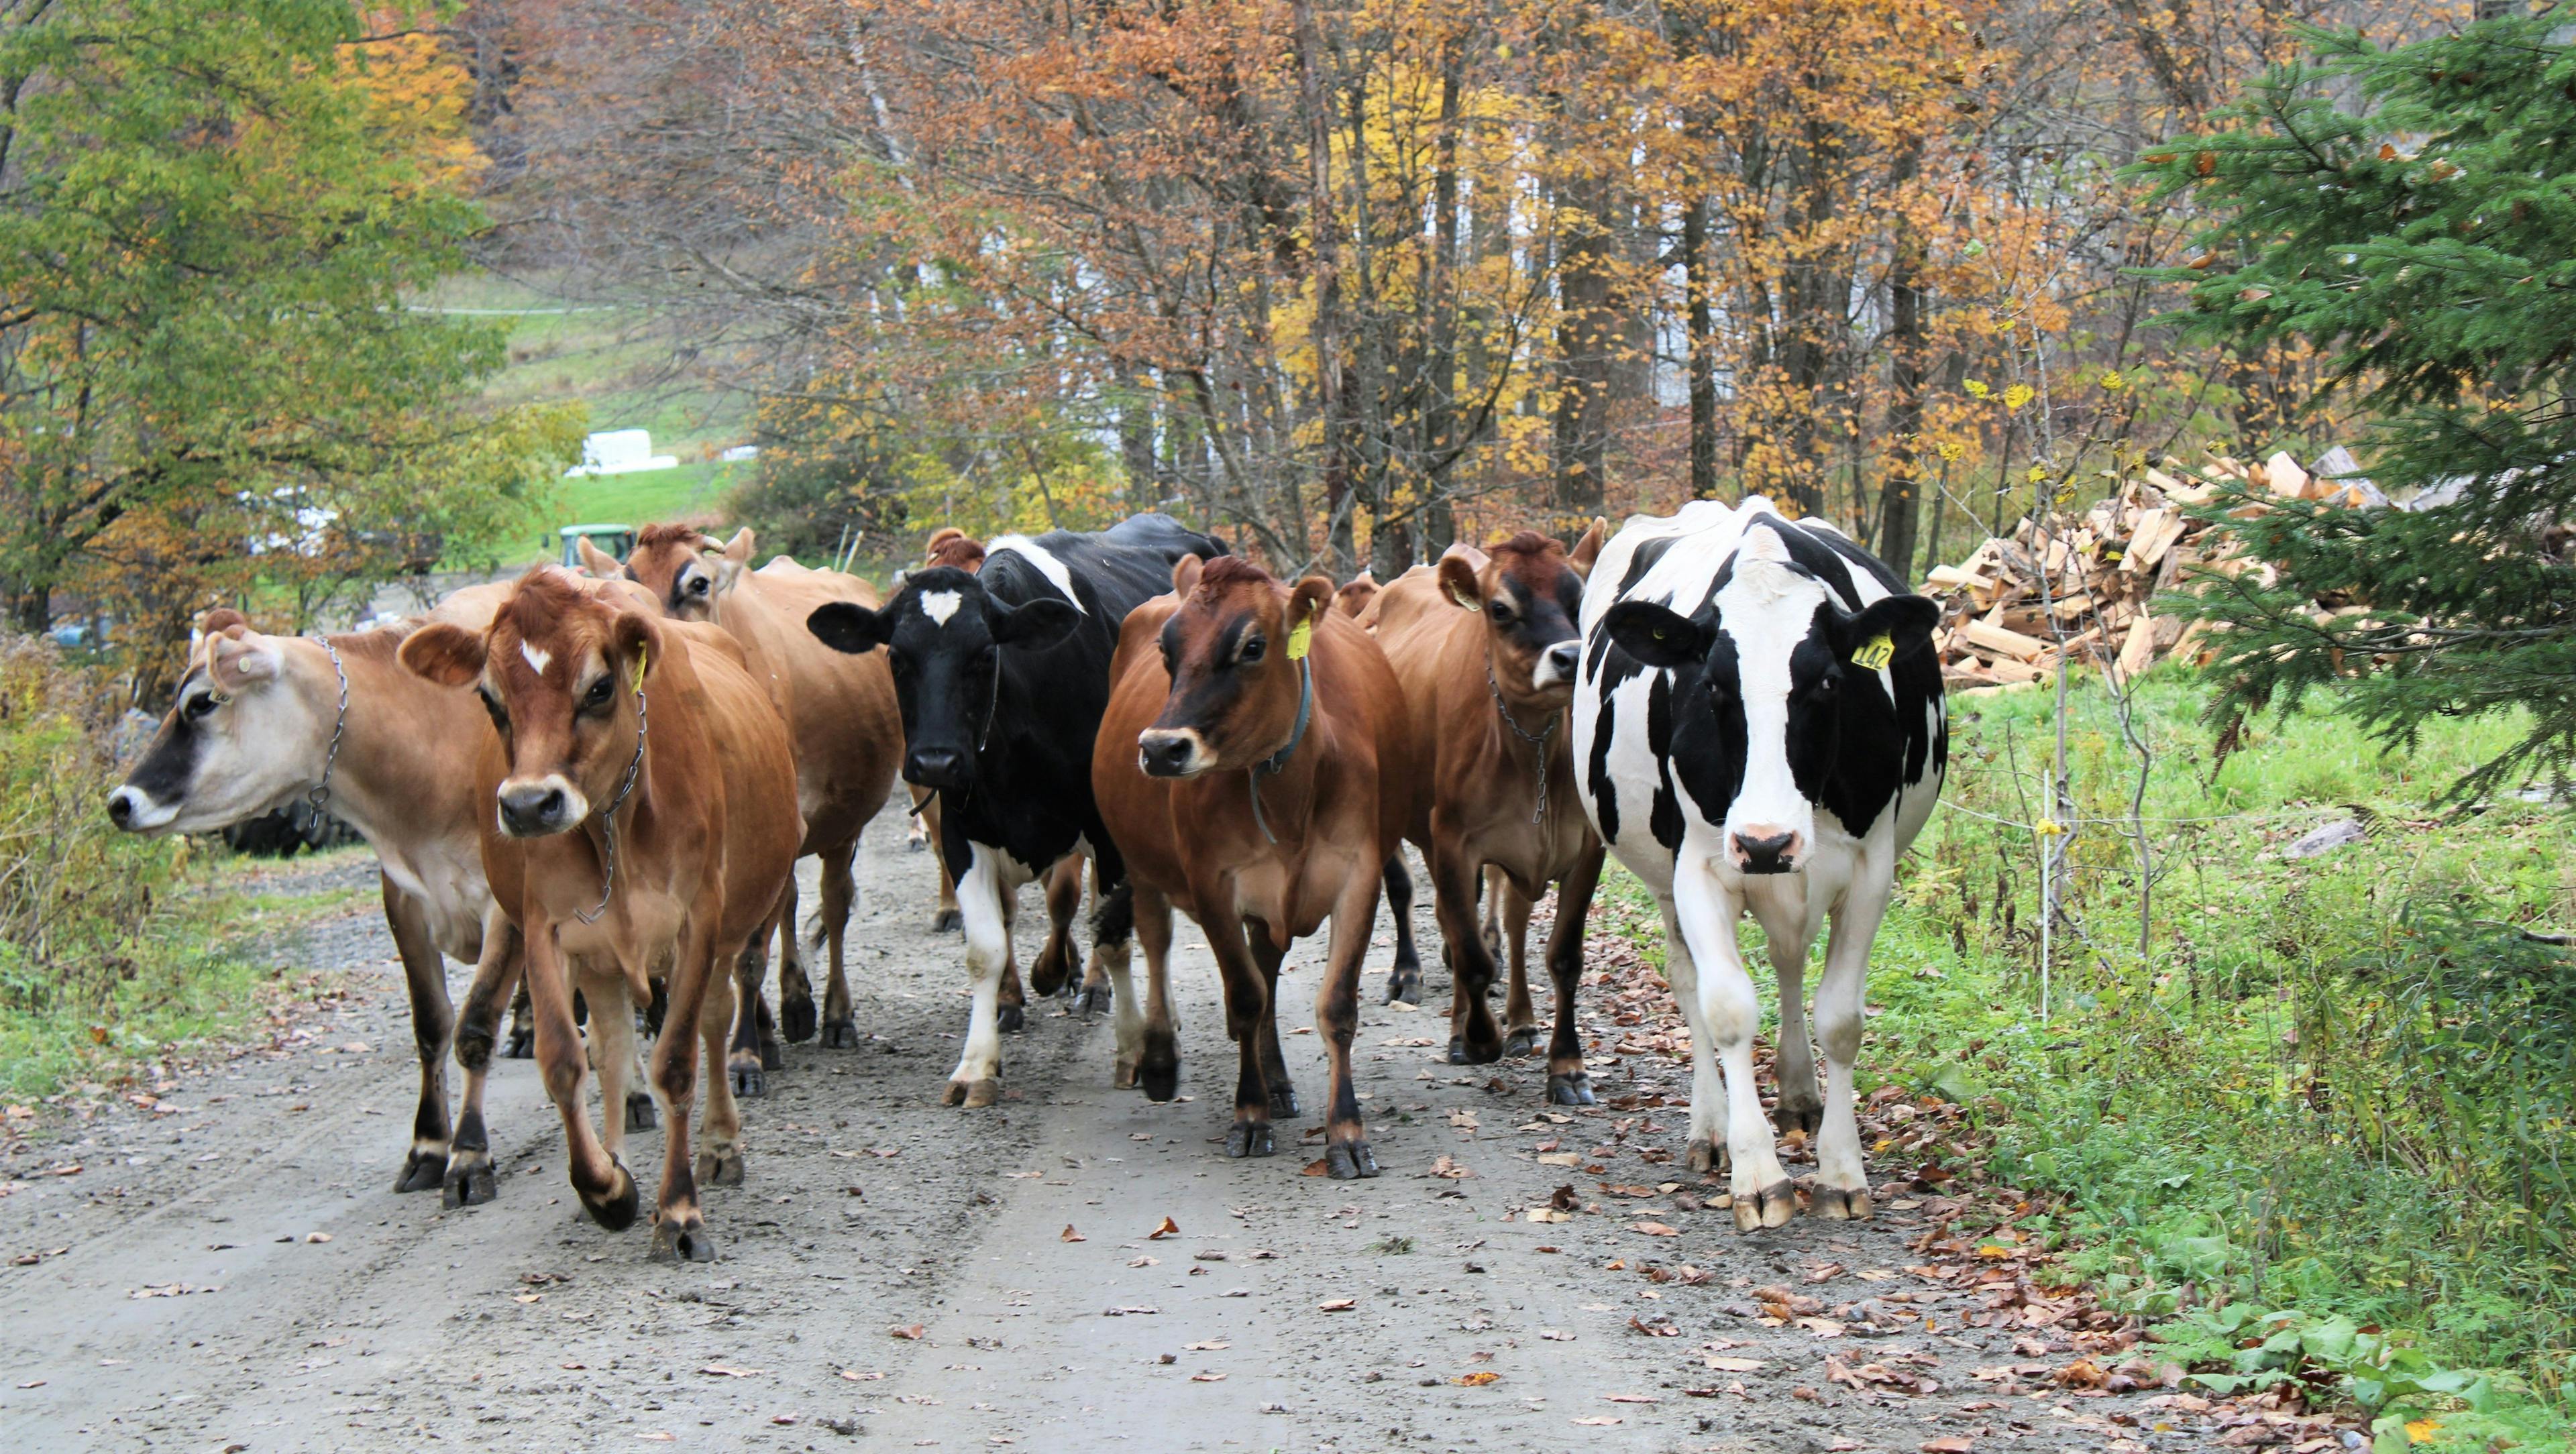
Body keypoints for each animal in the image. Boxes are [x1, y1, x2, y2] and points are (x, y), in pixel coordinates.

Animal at [396, 566, 798, 1261]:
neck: (615, 820)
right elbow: (564, 1061)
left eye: (602, 687)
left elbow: (677, 1062)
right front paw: (607, 1190)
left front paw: (680, 1212)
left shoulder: (699, 923)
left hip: (730, 929)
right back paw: (616, 1161)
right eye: (489, 699)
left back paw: (721, 1144)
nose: (528, 806)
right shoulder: (544, 929)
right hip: (601, 957)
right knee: (611, 1046)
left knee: (715, 1022)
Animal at [819, 509, 1231, 1101]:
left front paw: (1130, 1047)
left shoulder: (1103, 832)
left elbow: (1103, 931)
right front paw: (976, 1065)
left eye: (985, 654)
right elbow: (985, 949)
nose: (936, 761)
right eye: (896, 657)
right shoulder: (963, 833)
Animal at [1087, 551, 1411, 1173]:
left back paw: (1280, 1082)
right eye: (1167, 650)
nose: (1160, 748)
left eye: (1253, 646)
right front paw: (1249, 1113)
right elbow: (1243, 997)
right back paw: (1160, 1061)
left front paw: (1347, 1132)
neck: (1289, 790)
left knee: (1267, 967)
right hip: (1142, 864)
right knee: (1158, 940)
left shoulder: (1357, 876)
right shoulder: (1212, 882)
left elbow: (1334, 1006)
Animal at [1381, 522, 1597, 1101]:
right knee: (1437, 914)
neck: (1532, 748)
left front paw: (1567, 1066)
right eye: (1501, 609)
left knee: (1514, 923)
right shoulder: (1454, 841)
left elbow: (1564, 958)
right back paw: (1440, 1008)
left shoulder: (1585, 848)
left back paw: (1522, 1025)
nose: (1570, 656)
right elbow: (1473, 957)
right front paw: (1476, 1039)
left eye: (1580, 598)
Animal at [1566, 499, 1947, 1225]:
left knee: (1789, 959)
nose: (1766, 842)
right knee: (1690, 983)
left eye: (1828, 681)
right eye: (1713, 686)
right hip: (1670, 878)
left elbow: (1840, 1018)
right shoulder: (1699, 865)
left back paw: (1799, 1093)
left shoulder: (1870, 867)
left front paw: (1840, 1171)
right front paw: (1758, 1175)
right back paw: (1710, 1128)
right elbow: (1728, 1010)